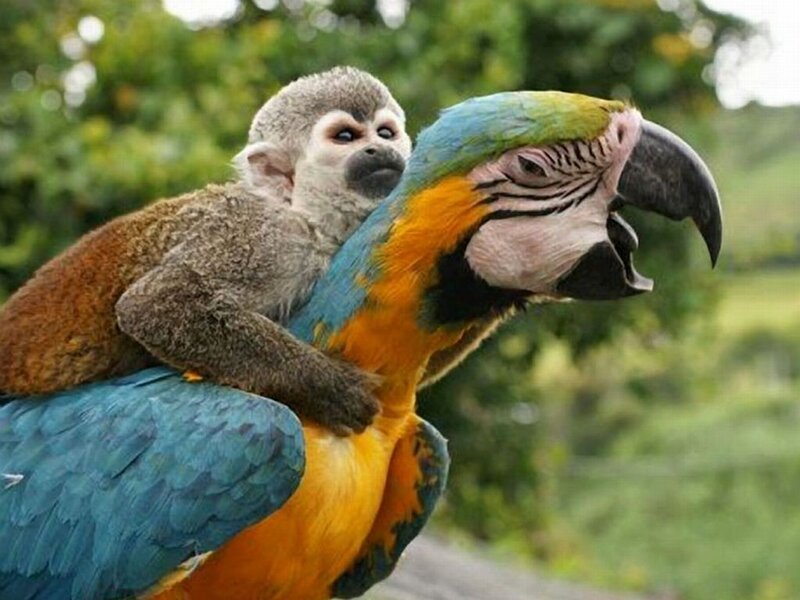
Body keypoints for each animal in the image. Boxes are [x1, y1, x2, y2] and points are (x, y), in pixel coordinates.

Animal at [0, 67, 412, 435]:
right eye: (346, 136)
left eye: (385, 133)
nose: (379, 148)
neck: (309, 217)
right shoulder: (266, 241)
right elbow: (153, 304)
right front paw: (326, 384)